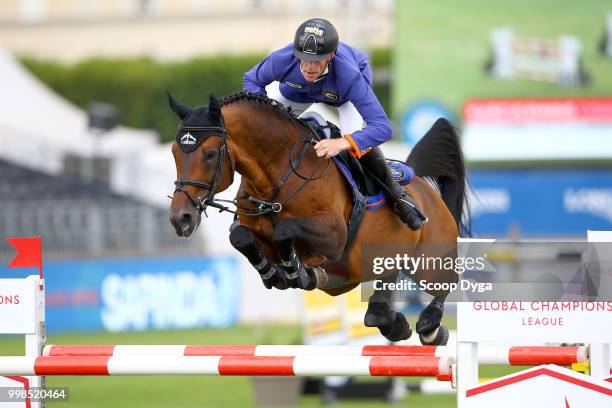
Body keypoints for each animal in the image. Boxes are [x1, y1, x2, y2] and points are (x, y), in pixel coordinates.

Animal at [167, 91, 468, 344]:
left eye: (210, 154)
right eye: (174, 152)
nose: (181, 218)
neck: (277, 178)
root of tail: (422, 185)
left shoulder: (333, 238)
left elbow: (285, 230)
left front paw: (295, 271)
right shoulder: (251, 227)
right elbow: (239, 237)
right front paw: (272, 272)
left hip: (431, 259)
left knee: (445, 283)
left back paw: (430, 325)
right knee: (385, 289)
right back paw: (390, 321)